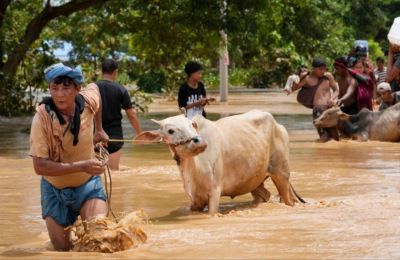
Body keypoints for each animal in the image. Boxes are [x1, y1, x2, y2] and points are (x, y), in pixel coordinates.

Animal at [136, 109, 304, 213]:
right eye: (170, 131)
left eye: (192, 125)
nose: (199, 142)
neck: (194, 169)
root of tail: (279, 125)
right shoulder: (195, 201)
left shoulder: (215, 192)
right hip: (254, 180)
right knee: (265, 195)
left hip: (281, 174)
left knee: (288, 199)